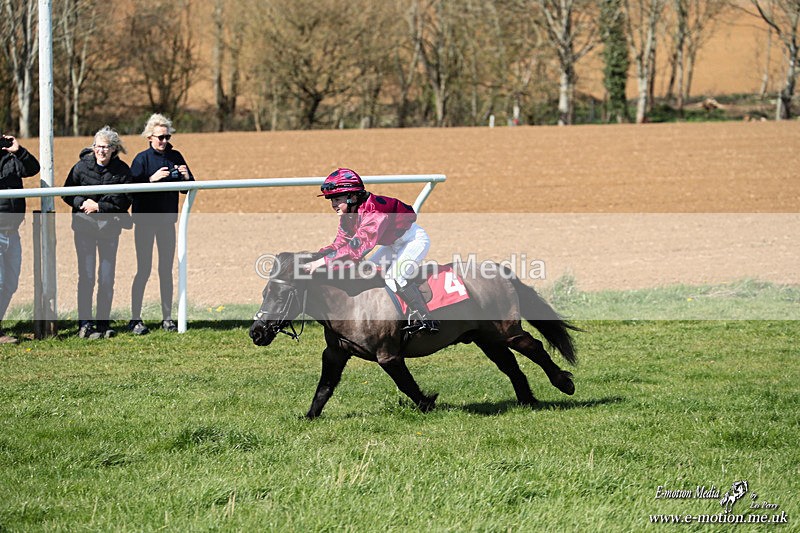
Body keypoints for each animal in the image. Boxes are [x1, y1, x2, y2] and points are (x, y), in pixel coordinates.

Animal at [249, 251, 579, 419]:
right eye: (265, 293)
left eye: (280, 296)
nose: (256, 332)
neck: (351, 301)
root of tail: (501, 271)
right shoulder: (335, 353)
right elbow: (324, 388)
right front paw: (308, 416)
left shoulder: (389, 355)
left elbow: (407, 385)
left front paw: (428, 403)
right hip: (485, 337)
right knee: (510, 365)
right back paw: (526, 400)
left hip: (505, 330)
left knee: (533, 346)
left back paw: (563, 383)